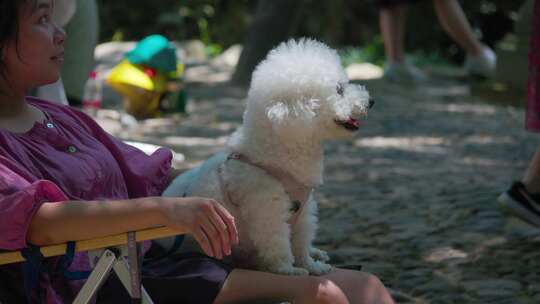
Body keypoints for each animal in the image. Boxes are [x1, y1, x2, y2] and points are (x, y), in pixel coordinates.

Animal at [165, 38, 374, 276]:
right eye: (339, 90)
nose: (371, 101)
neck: (277, 151)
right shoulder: (268, 209)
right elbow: (278, 242)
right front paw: (288, 270)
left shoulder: (304, 210)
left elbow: (301, 241)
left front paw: (310, 265)